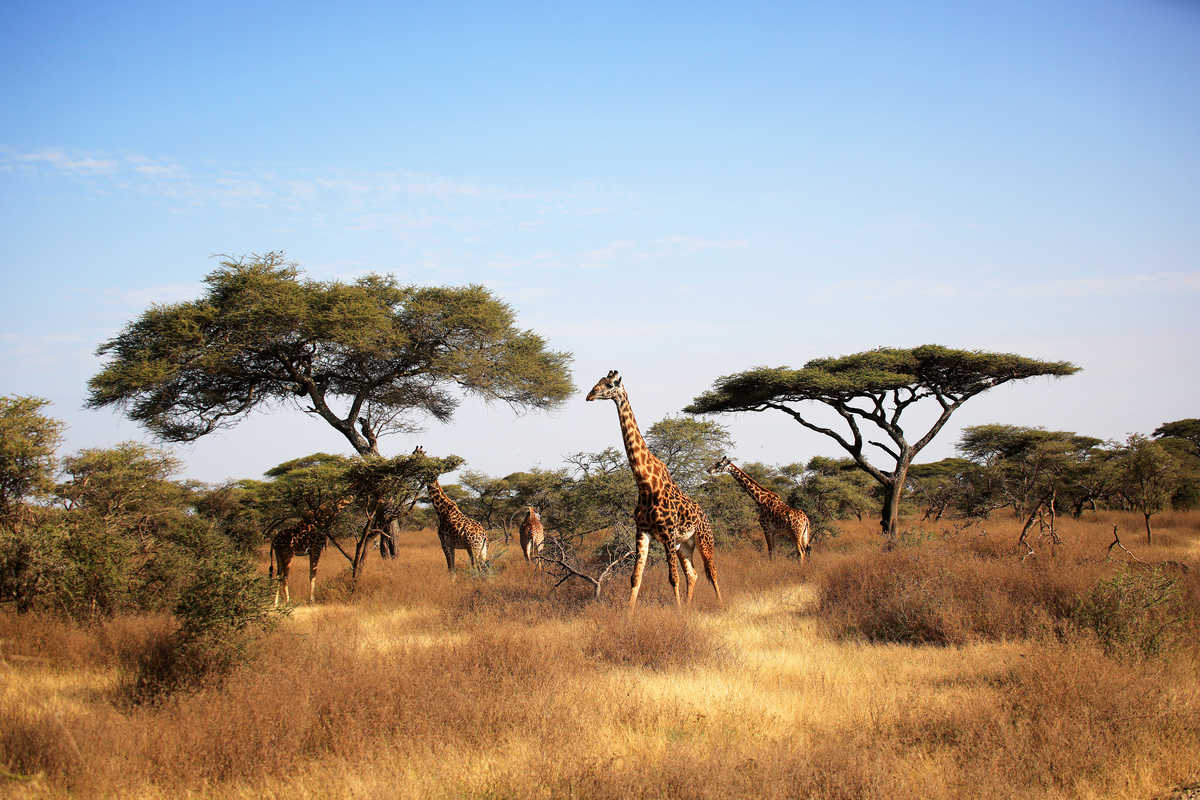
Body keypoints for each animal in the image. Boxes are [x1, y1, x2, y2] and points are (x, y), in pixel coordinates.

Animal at [586, 369, 722, 609]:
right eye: (599, 382)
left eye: (610, 384)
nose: (589, 395)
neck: (645, 483)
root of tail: (704, 515)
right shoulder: (642, 532)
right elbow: (635, 577)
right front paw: (628, 613)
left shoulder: (667, 533)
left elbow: (673, 577)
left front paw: (677, 612)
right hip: (684, 545)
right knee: (693, 574)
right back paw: (689, 605)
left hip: (704, 539)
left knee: (711, 571)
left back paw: (720, 604)